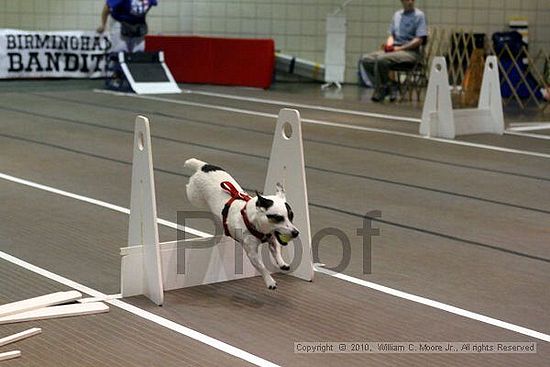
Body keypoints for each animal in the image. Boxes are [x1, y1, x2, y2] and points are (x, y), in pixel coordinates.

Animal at [185, 159, 300, 290]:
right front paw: (270, 281)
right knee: (190, 191)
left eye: (291, 216)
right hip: (194, 197)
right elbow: (262, 267)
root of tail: (204, 166)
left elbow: (276, 251)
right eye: (278, 218)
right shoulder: (252, 253)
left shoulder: (272, 239)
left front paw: (282, 263)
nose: (296, 233)